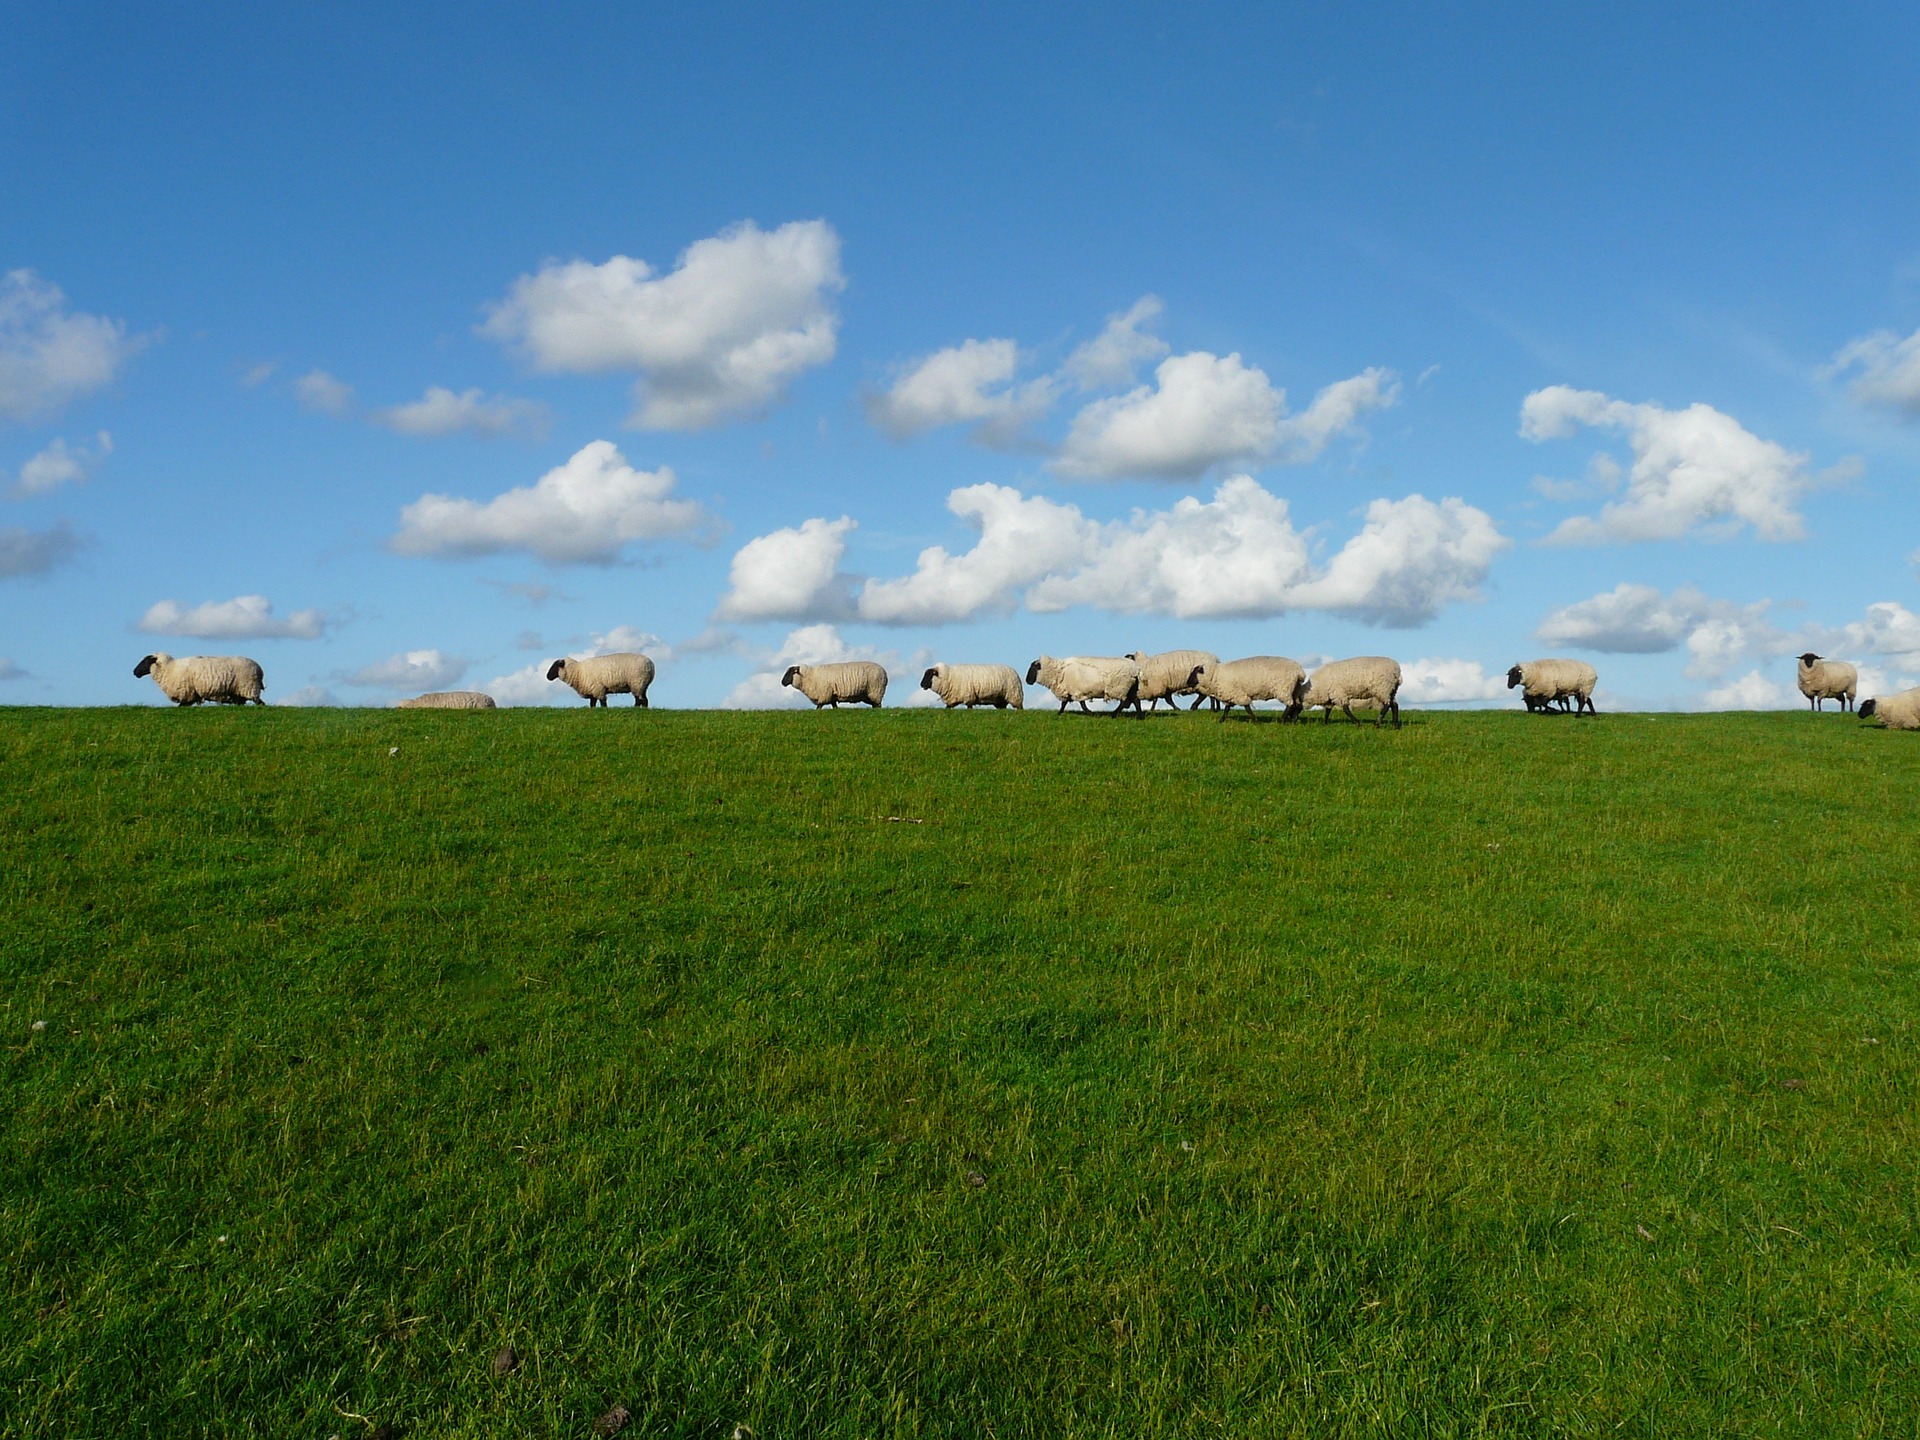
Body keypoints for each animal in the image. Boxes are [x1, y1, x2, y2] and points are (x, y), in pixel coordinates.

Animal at [133, 656, 264, 706]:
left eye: (146, 661)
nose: (135, 672)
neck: (170, 668)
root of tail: (259, 669)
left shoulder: (187, 694)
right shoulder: (191, 695)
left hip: (249, 688)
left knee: (260, 703)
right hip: (238, 694)